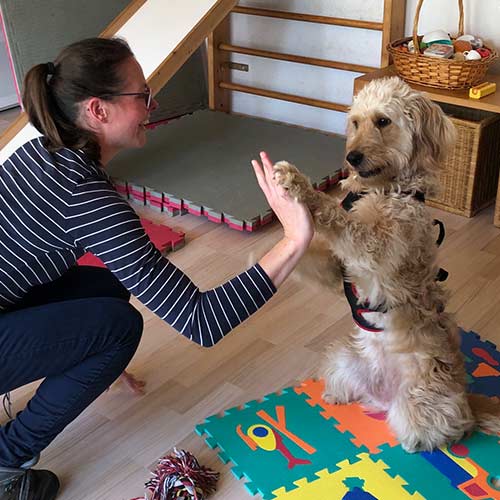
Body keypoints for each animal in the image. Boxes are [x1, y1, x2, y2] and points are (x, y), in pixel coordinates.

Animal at [273, 77, 500, 452]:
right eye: (355, 122)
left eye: (383, 121)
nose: (351, 157)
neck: (387, 189)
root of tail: (384, 396)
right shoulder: (340, 270)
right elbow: (319, 255)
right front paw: (285, 238)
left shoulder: (372, 246)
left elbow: (335, 215)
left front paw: (299, 186)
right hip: (343, 358)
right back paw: (336, 396)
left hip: (419, 405)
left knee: (453, 427)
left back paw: (417, 442)